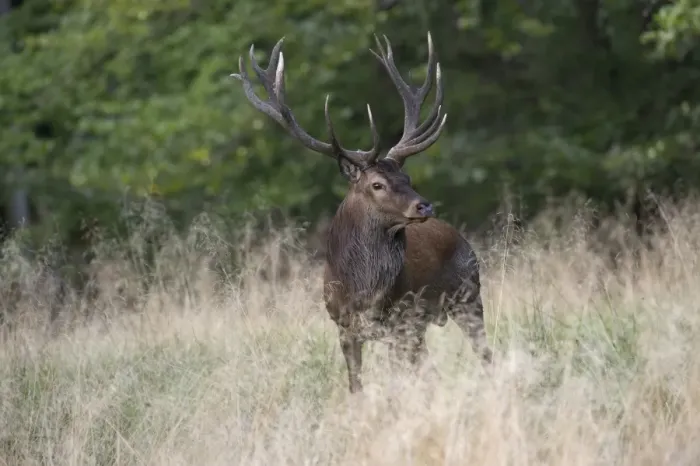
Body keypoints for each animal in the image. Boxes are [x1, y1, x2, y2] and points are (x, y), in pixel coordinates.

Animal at [231, 32, 493, 393]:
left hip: (469, 295)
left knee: (483, 354)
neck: (363, 293)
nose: (424, 205)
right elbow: (356, 385)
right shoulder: (344, 327)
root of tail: (460, 237)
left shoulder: (403, 320)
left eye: (407, 178)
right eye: (377, 184)